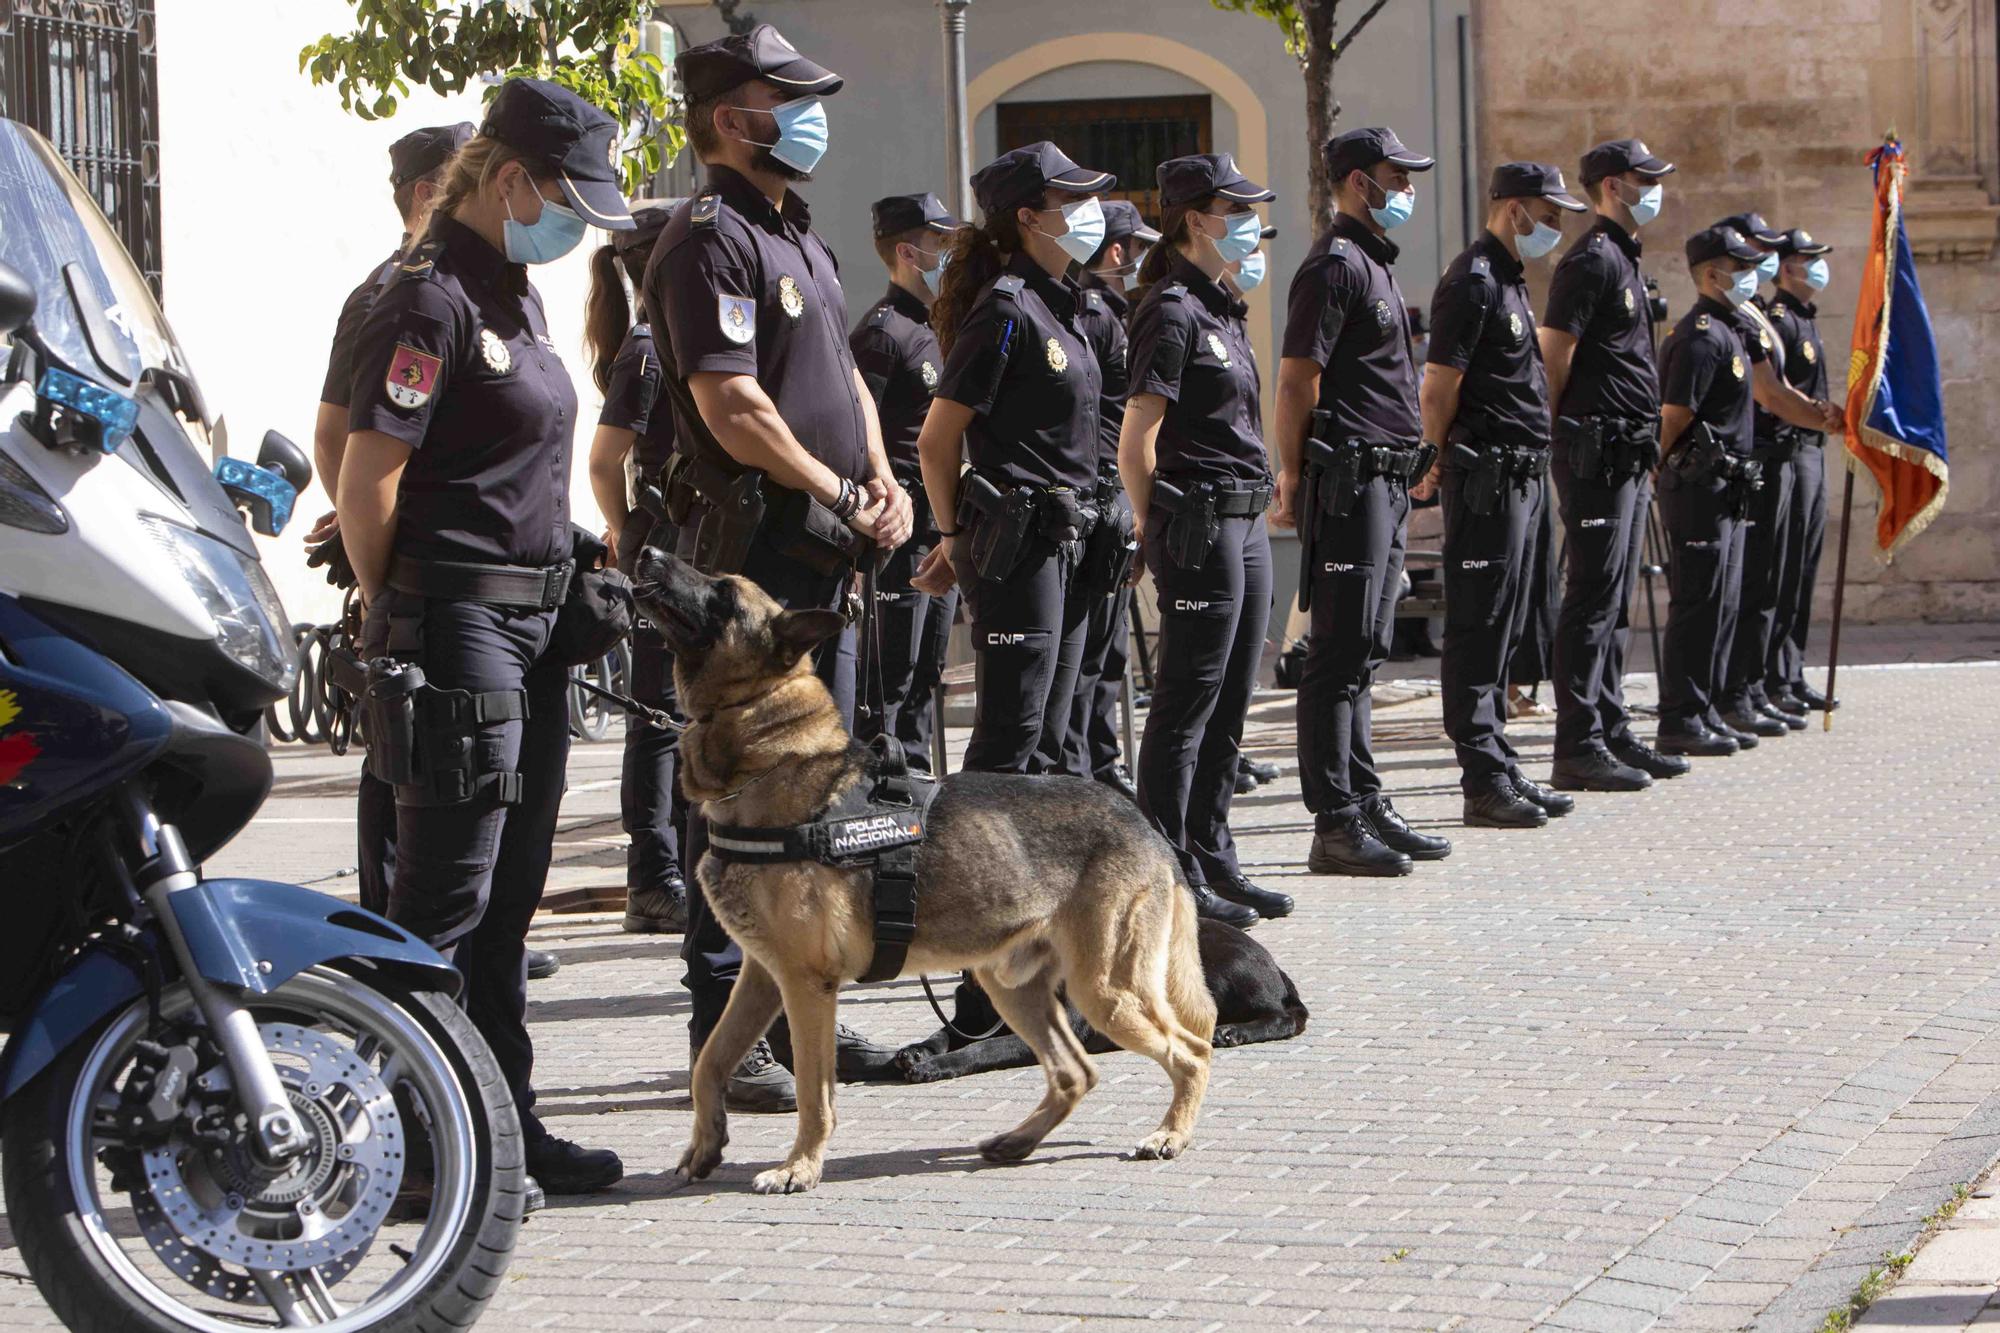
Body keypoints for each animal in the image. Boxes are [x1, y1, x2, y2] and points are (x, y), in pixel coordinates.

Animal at [636, 544, 1216, 1184]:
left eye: (724, 594)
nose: (649, 552)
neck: (769, 755)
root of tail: (1143, 822)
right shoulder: (763, 976)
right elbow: (709, 1062)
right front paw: (705, 1145)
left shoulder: (805, 983)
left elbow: (814, 1091)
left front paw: (800, 1167)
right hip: (1013, 987)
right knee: (1077, 1072)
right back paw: (1019, 1140)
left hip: (1105, 990)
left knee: (1191, 1051)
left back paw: (1170, 1134)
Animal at [896, 912, 1304, 1080]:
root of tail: (1273, 964)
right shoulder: (967, 1019)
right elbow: (943, 1034)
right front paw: (917, 1051)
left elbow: (982, 1048)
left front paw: (937, 1066)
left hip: (1222, 967)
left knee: (1285, 1017)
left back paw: (1236, 1031)